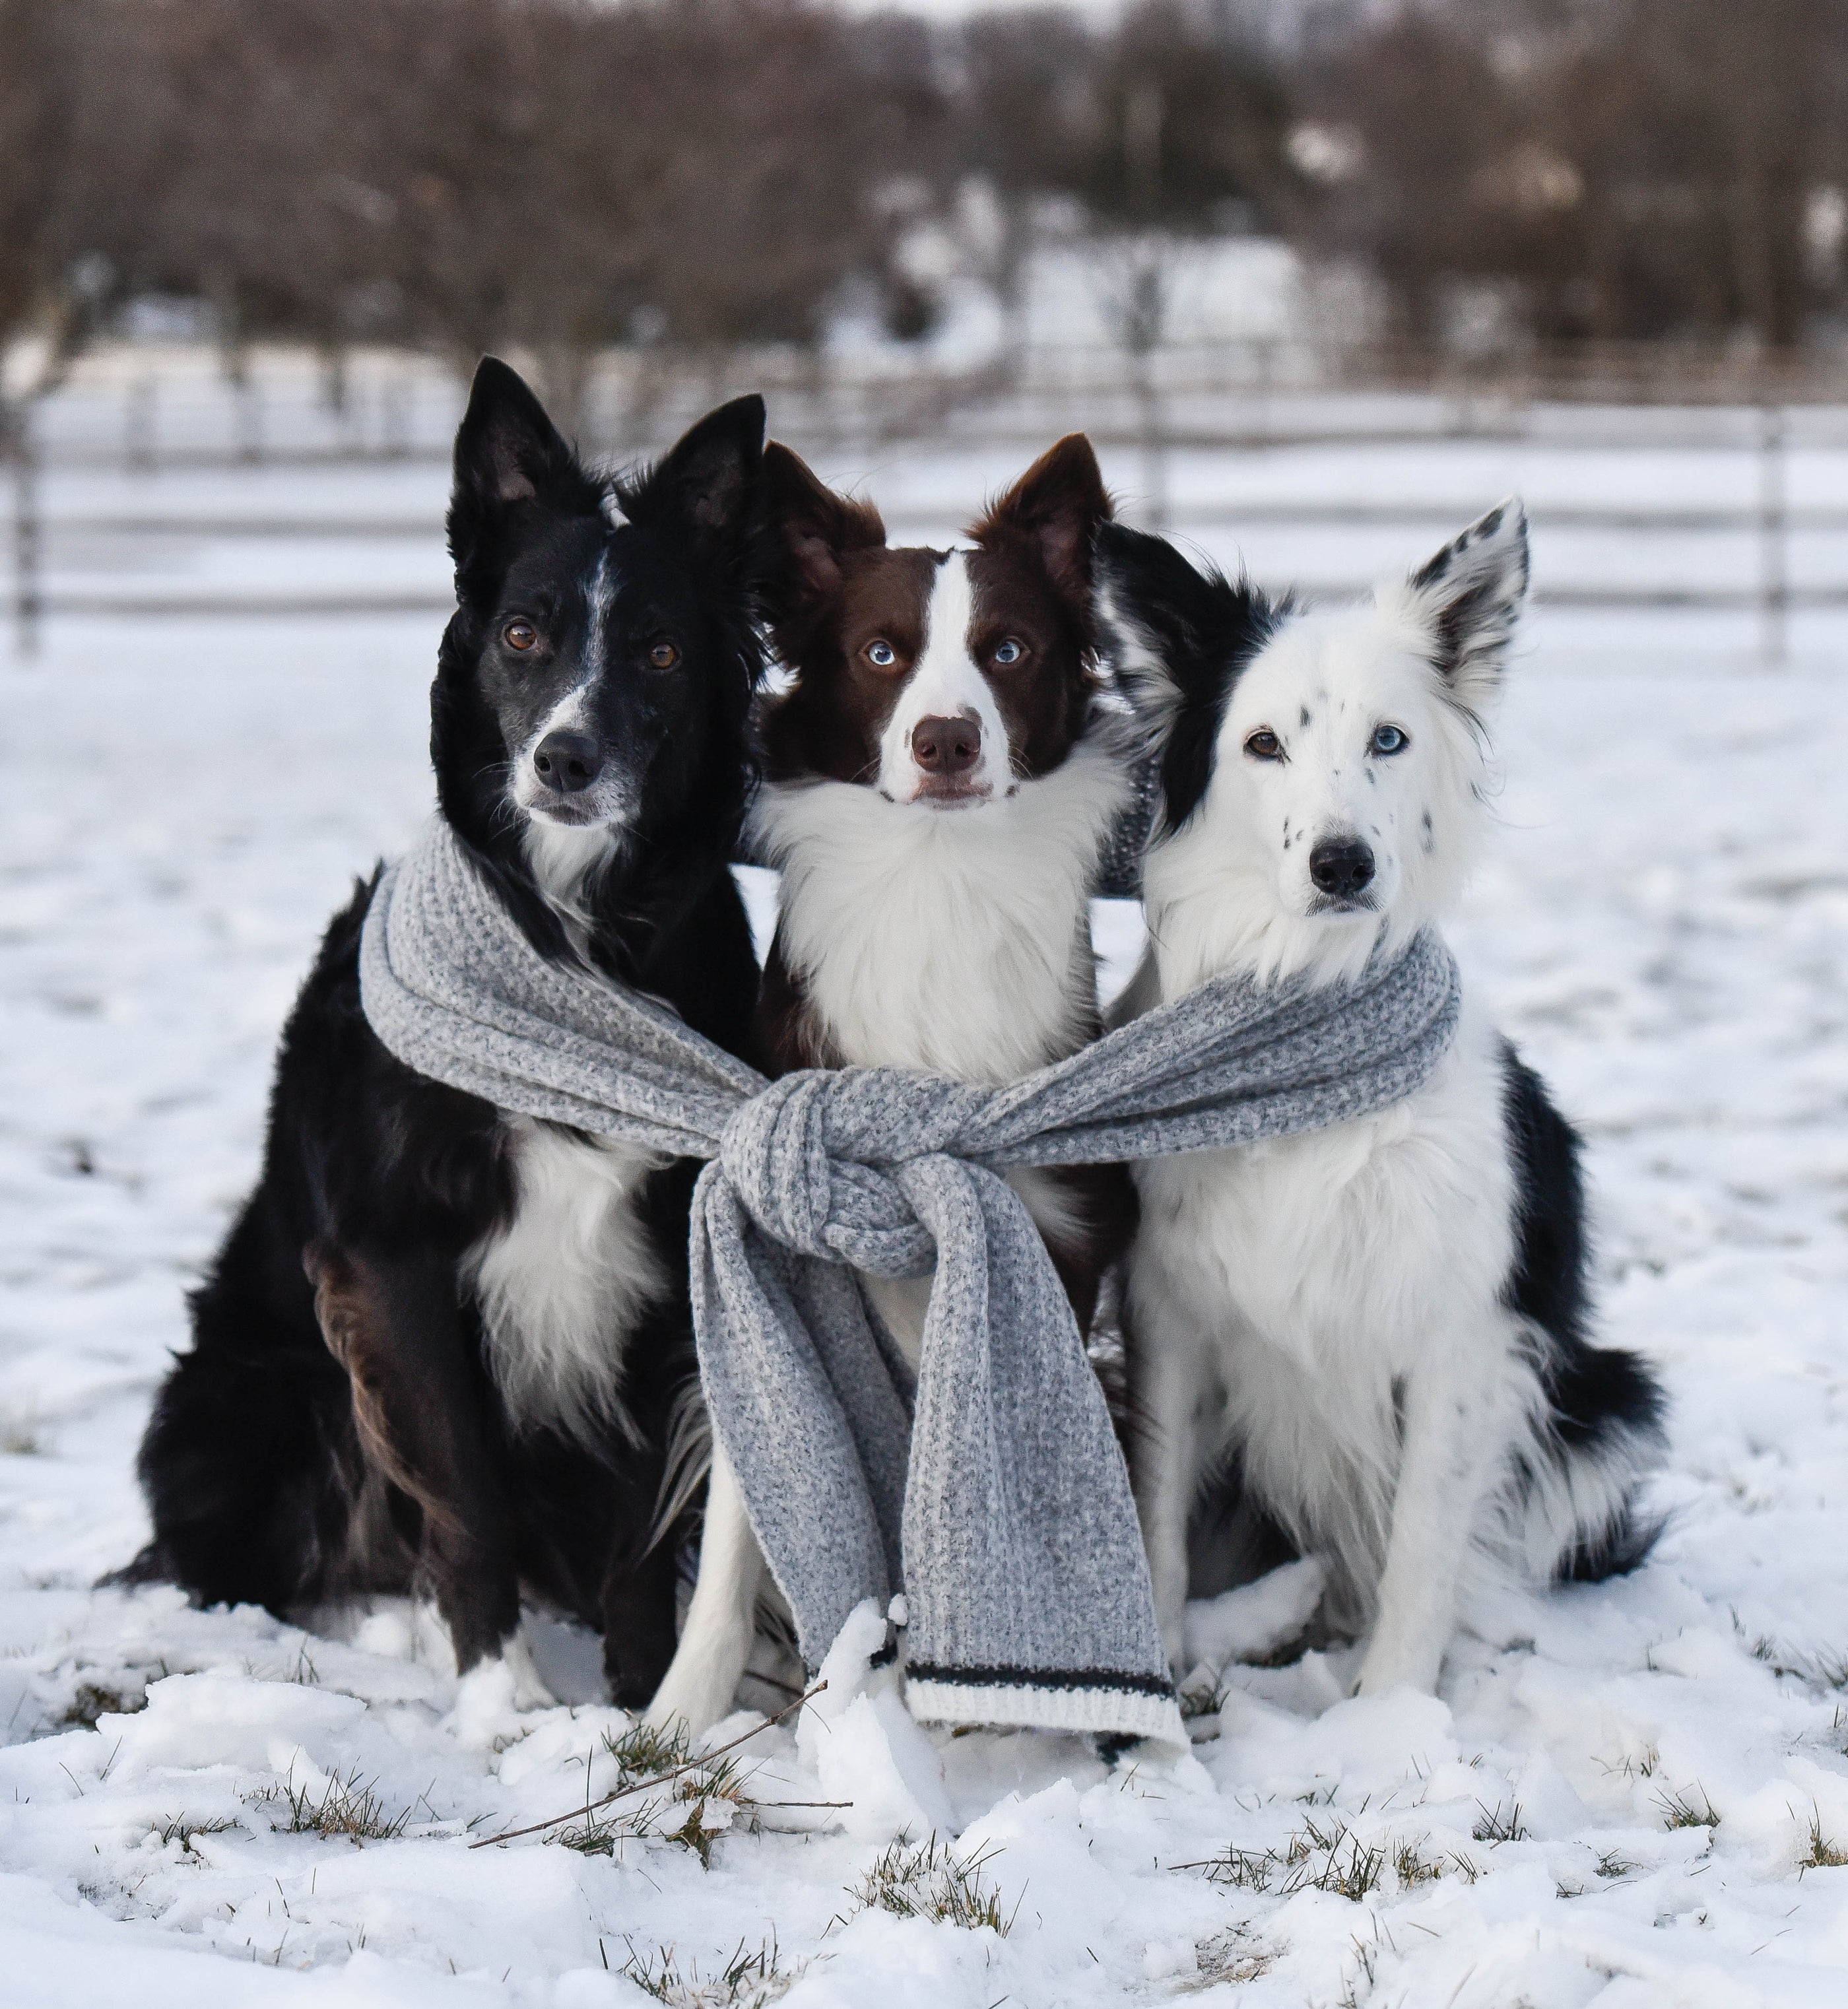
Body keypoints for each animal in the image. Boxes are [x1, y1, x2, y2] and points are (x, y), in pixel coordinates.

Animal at [121, 361, 771, 1727]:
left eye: (661, 650)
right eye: (523, 633)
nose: (566, 759)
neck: (575, 937)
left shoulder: (656, 1264)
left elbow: (642, 1524)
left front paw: (640, 1697)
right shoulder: (390, 1259)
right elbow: (464, 1495)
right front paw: (500, 1699)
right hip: (239, 1399)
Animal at [651, 432, 1140, 1736]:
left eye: (1008, 650)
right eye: (881, 655)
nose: (946, 741)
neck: (939, 877)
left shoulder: (1060, 1230)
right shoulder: (772, 1237)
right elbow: (751, 1497)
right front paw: (678, 1712)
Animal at [1092, 502, 1671, 1696]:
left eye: (1389, 740)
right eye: (1264, 744)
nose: (1342, 862)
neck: (1309, 1010)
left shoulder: (1464, 1340)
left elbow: (1421, 1550)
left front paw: (1392, 1719)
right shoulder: (1169, 1317)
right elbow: (1156, 1514)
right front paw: (1156, 1683)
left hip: (1606, 1405)